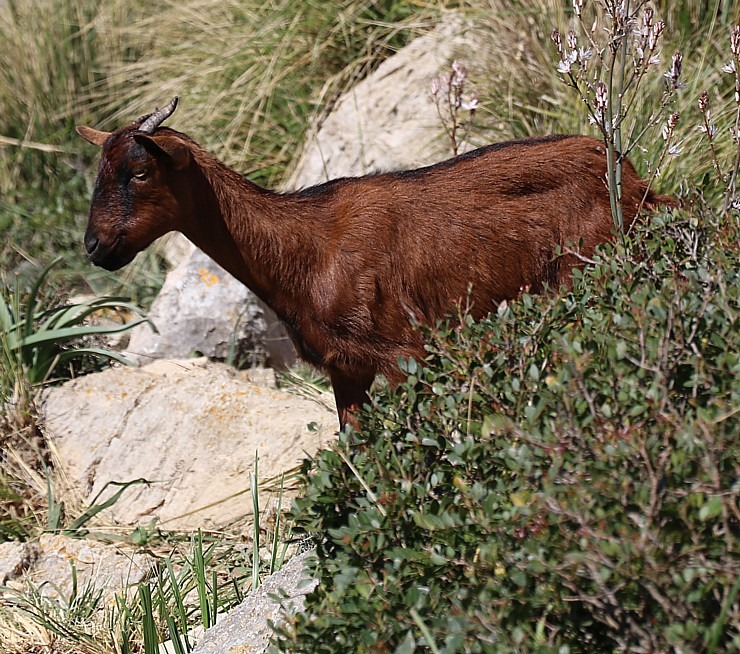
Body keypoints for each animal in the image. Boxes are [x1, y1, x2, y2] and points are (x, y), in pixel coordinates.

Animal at [78, 95, 672, 428]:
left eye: (140, 172)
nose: (95, 246)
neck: (304, 248)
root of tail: (637, 182)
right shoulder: (347, 368)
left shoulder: (408, 352)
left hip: (586, 269)